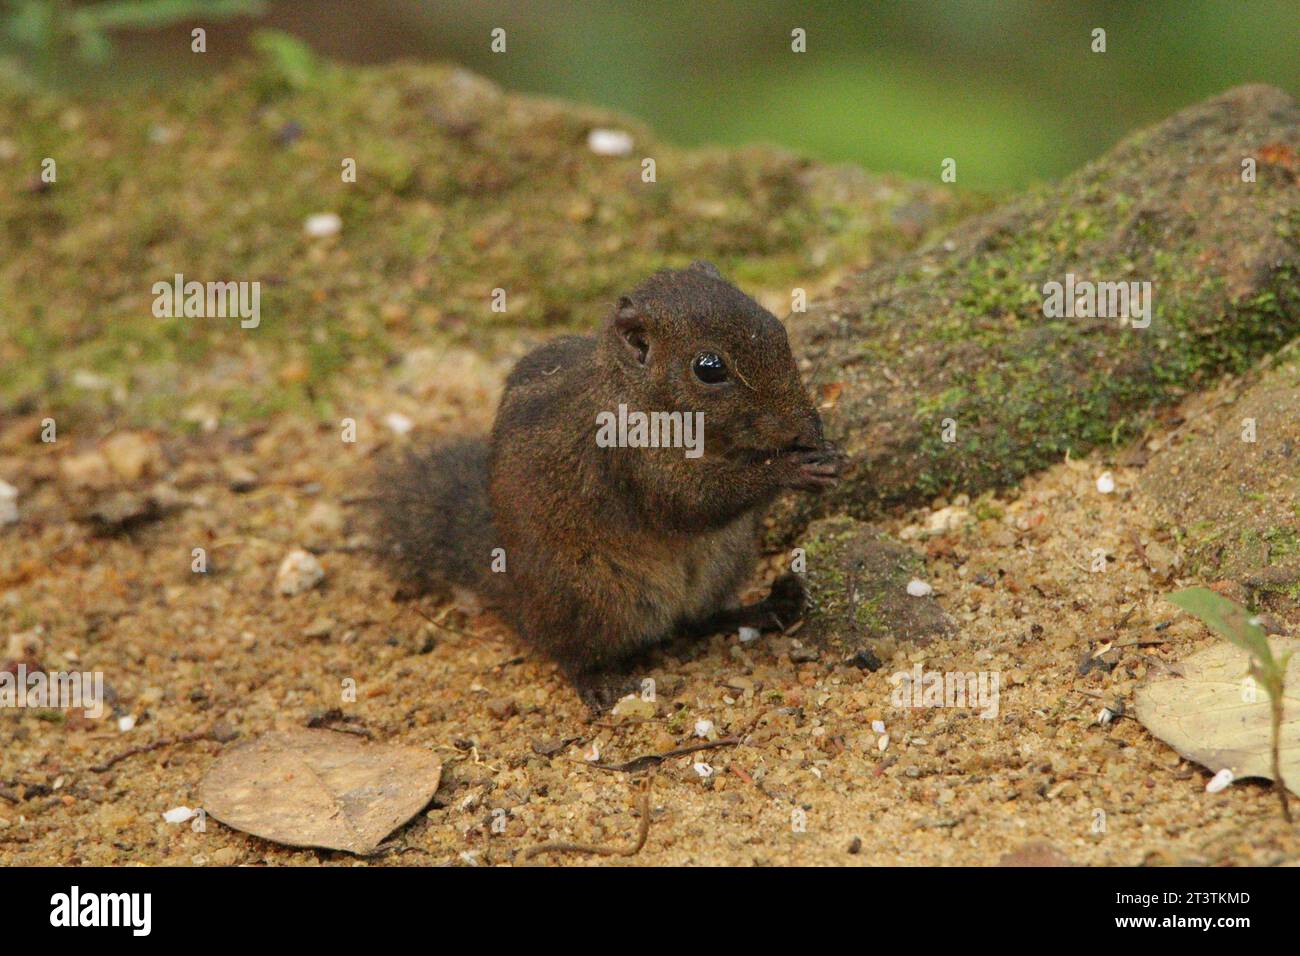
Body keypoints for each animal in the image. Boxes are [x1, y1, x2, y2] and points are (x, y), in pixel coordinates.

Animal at [374, 257, 842, 707]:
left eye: (778, 328)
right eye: (709, 369)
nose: (806, 428)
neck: (639, 395)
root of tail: (521, 598)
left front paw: (825, 452)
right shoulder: (625, 454)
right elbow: (687, 503)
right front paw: (789, 469)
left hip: (724, 559)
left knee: (700, 619)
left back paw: (765, 607)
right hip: (592, 593)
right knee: (573, 653)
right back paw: (597, 682)